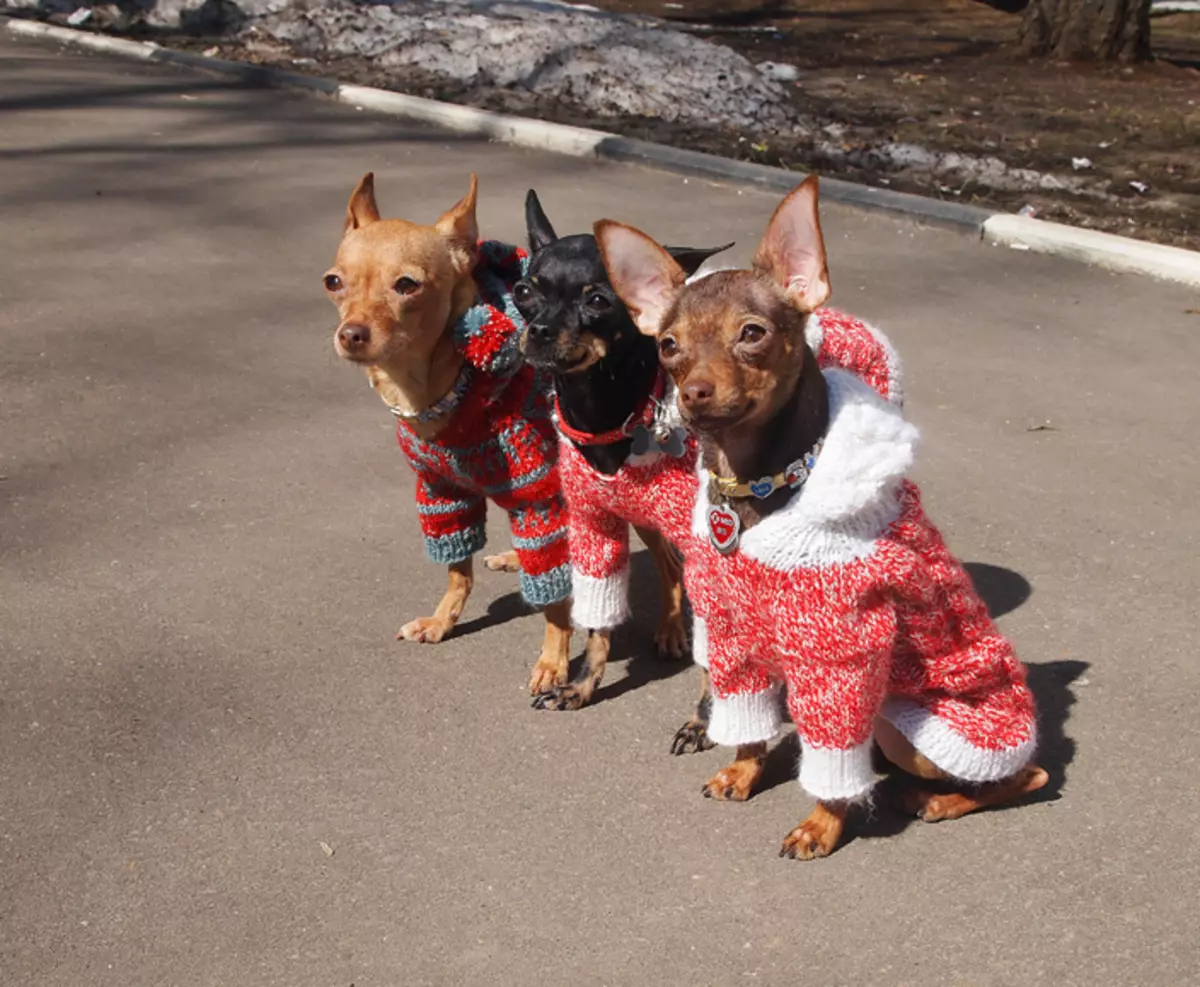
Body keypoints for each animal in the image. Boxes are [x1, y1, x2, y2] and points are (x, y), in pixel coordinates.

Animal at [324, 175, 576, 696]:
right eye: (333, 282)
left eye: (407, 285)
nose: (351, 333)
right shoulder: (443, 493)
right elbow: (457, 570)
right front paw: (442, 621)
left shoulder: (539, 497)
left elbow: (555, 600)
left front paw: (554, 659)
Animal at [511, 189, 724, 749]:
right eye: (524, 289)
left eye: (598, 301)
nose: (539, 329)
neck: (608, 418)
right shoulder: (595, 526)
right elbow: (597, 623)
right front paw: (581, 686)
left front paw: (706, 719)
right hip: (642, 517)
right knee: (668, 564)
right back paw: (670, 628)